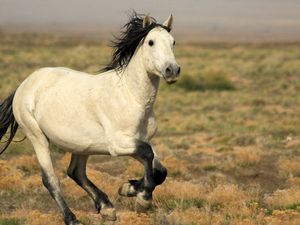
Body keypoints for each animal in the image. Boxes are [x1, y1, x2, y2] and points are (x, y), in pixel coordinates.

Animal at [0, 12, 180, 225]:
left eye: (173, 42)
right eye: (151, 42)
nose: (172, 70)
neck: (131, 97)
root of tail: (24, 85)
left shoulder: (139, 140)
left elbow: (159, 170)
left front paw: (128, 188)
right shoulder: (118, 145)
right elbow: (148, 154)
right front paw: (142, 199)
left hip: (82, 145)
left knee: (75, 172)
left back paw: (107, 208)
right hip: (37, 137)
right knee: (50, 179)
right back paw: (72, 218)